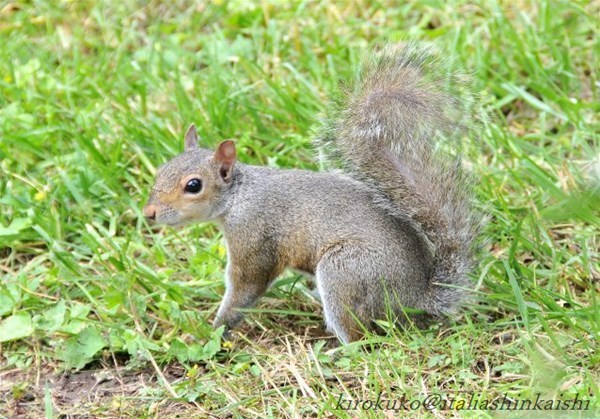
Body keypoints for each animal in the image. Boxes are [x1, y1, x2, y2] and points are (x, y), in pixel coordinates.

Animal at [143, 41, 486, 344]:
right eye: (161, 170)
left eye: (193, 185)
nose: (149, 213)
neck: (239, 196)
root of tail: (415, 298)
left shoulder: (255, 236)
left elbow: (247, 287)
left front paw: (212, 331)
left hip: (345, 271)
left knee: (361, 337)